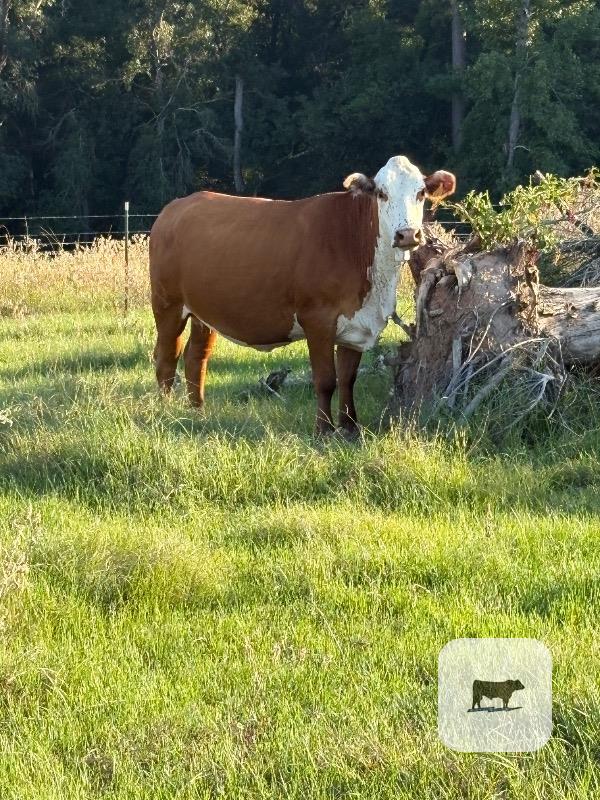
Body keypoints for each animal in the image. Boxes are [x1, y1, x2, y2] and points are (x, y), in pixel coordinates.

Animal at [149, 155, 456, 435]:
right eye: (382, 193)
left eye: (420, 193)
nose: (408, 234)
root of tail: (174, 207)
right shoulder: (317, 319)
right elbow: (326, 380)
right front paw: (323, 430)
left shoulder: (357, 324)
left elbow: (348, 379)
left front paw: (350, 427)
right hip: (168, 304)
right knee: (166, 357)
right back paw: (166, 411)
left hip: (205, 310)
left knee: (196, 356)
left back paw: (197, 410)